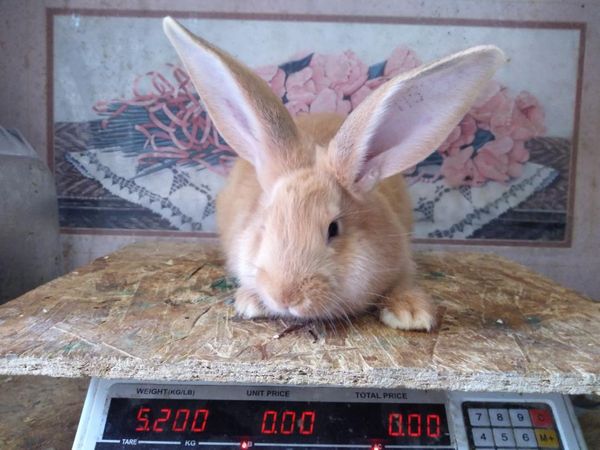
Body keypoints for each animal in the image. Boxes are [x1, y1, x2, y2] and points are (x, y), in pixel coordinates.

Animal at [163, 17, 504, 331]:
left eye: (333, 229)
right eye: (264, 224)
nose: (286, 296)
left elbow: (403, 283)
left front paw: (411, 314)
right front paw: (251, 301)